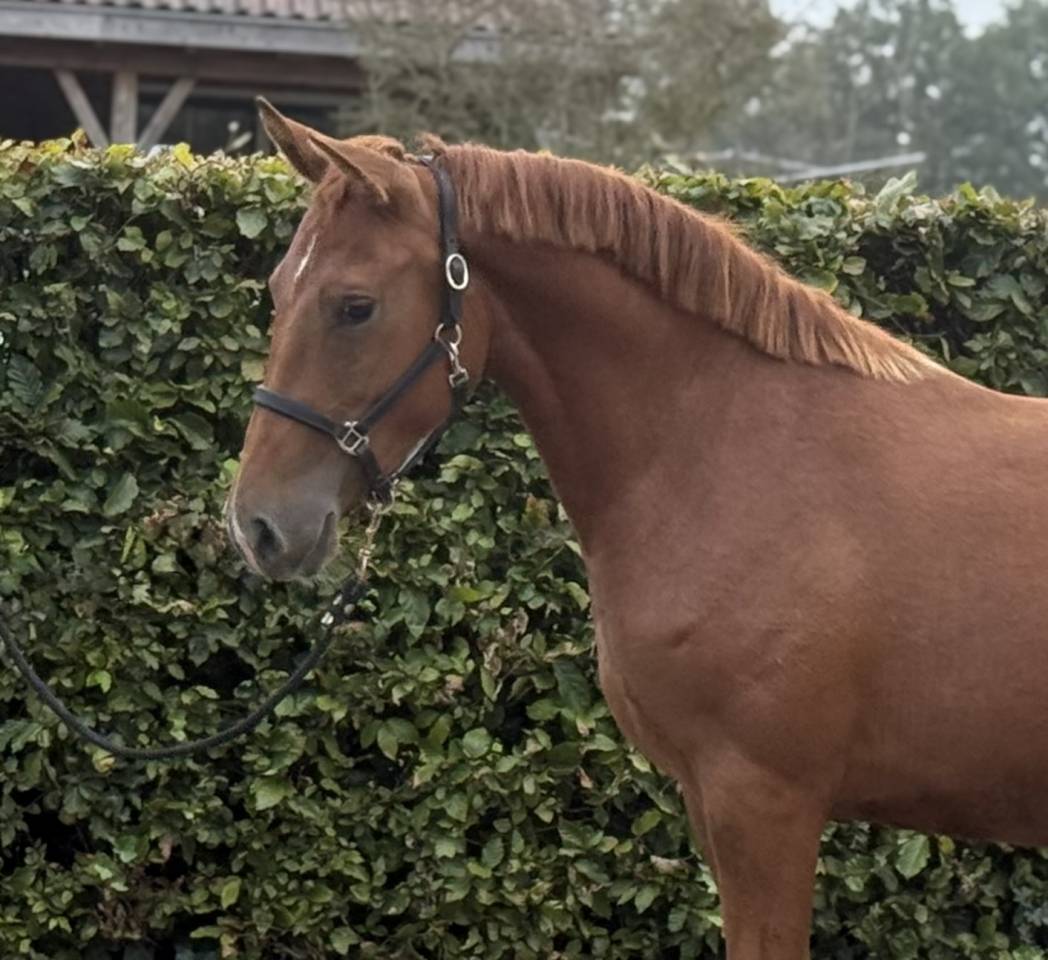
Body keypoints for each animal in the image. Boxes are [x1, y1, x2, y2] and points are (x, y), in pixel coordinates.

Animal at [227, 100, 1048, 959]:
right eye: (278, 288)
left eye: (354, 306)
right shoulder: (710, 799)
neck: (726, 448)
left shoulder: (765, 802)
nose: (257, 524)